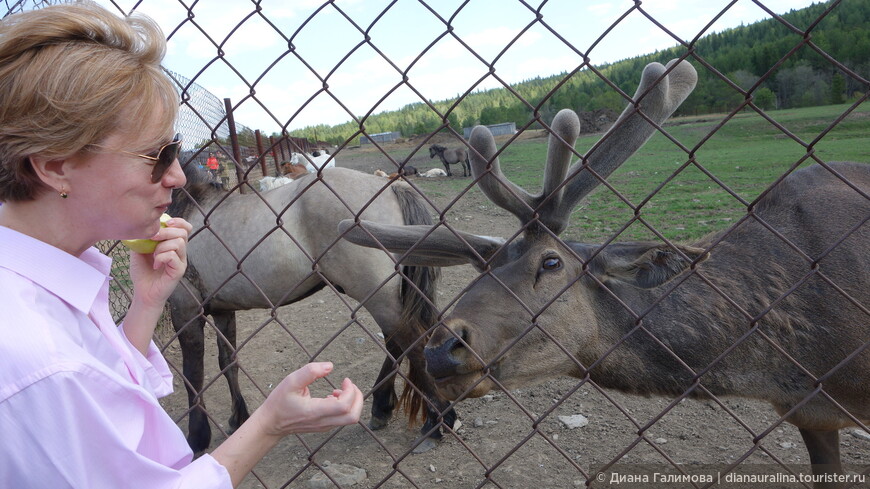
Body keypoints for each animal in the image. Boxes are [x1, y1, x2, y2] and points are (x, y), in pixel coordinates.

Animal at [165, 163, 456, 454]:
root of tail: (392, 188)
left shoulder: (186, 309)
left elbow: (193, 373)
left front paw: (196, 437)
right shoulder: (222, 310)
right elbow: (228, 362)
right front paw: (238, 418)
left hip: (379, 299)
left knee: (413, 345)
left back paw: (436, 423)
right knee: (398, 344)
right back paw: (383, 409)